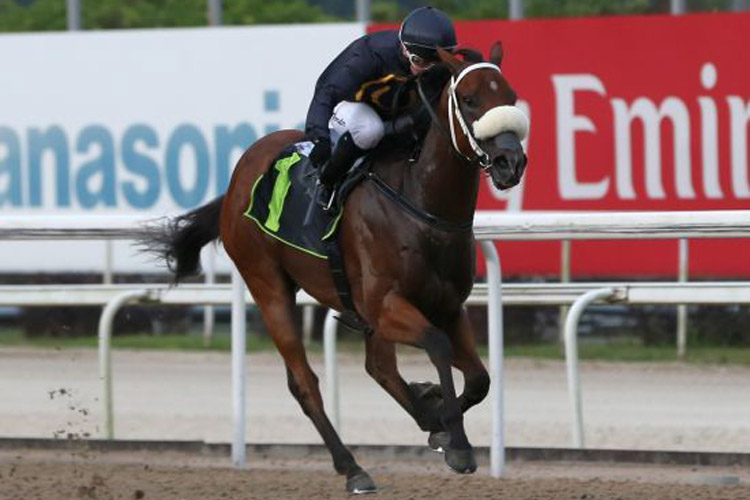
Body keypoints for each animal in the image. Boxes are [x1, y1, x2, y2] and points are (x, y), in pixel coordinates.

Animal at [142, 44, 528, 496]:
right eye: (469, 100)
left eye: (511, 96)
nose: (510, 163)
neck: (421, 206)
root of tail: (239, 174)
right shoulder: (386, 305)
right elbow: (437, 346)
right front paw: (457, 442)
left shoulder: (448, 307)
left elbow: (479, 379)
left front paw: (435, 414)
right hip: (268, 285)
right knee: (305, 383)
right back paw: (352, 468)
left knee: (379, 367)